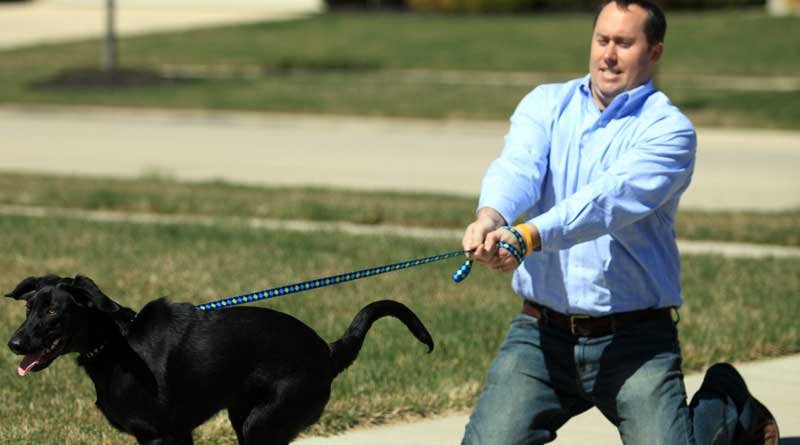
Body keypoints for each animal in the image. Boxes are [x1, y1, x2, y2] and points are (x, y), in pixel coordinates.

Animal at [4, 274, 432, 444]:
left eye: (53, 311)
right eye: (28, 308)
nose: (14, 343)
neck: (117, 344)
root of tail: (327, 351)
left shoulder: (162, 435)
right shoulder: (170, 434)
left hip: (264, 424)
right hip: (244, 417)